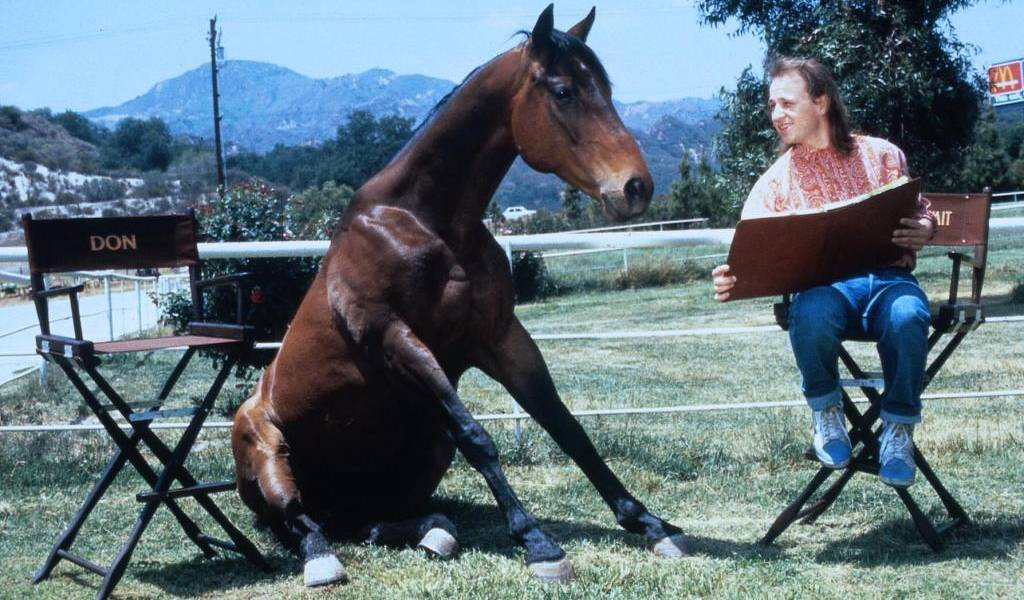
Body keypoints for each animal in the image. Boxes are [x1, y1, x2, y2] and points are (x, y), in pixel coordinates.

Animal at [228, 4, 684, 585]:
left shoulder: (501, 338)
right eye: (563, 91)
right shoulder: (396, 340)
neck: (423, 223)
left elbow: (566, 426)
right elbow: (478, 437)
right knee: (299, 521)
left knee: (374, 523)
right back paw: (322, 558)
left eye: (604, 86)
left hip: (419, 456)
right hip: (267, 450)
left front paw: (650, 524)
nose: (636, 188)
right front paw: (539, 544)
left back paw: (435, 533)